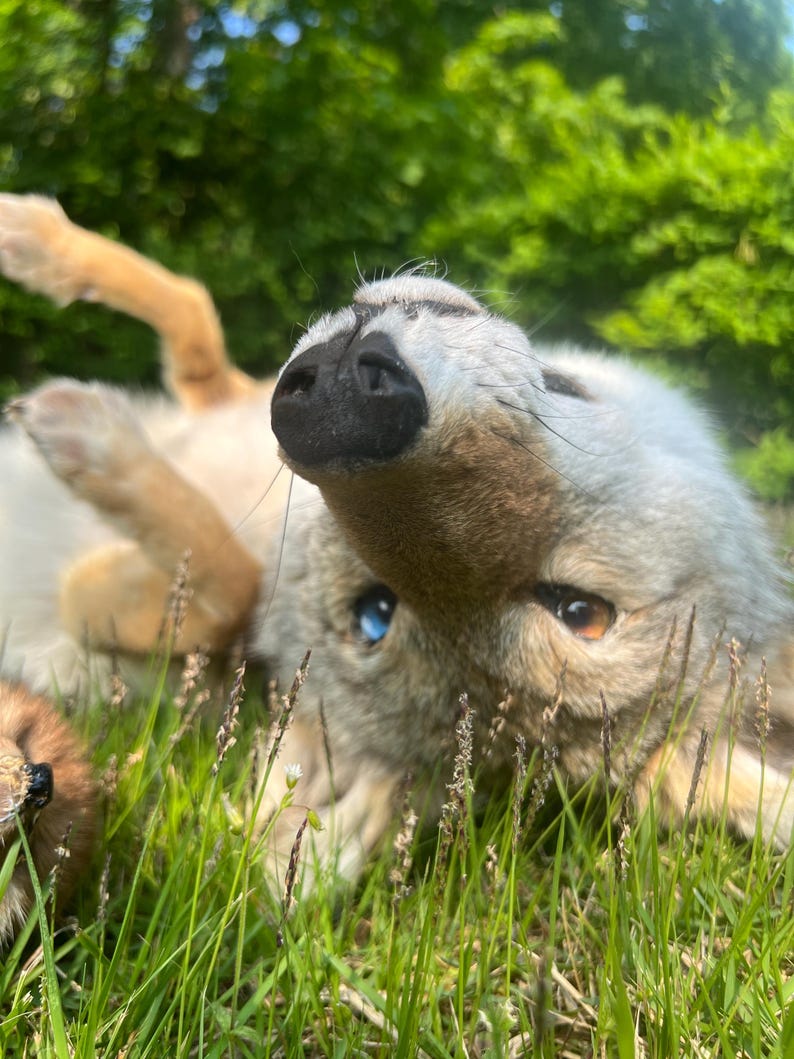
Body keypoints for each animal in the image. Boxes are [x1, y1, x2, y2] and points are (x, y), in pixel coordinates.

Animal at [0, 193, 792, 889]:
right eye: (375, 612)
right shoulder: (217, 390)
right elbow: (189, 308)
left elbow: (217, 585)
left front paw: (97, 450)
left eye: (578, 609)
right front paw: (30, 236)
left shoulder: (203, 634)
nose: (341, 413)